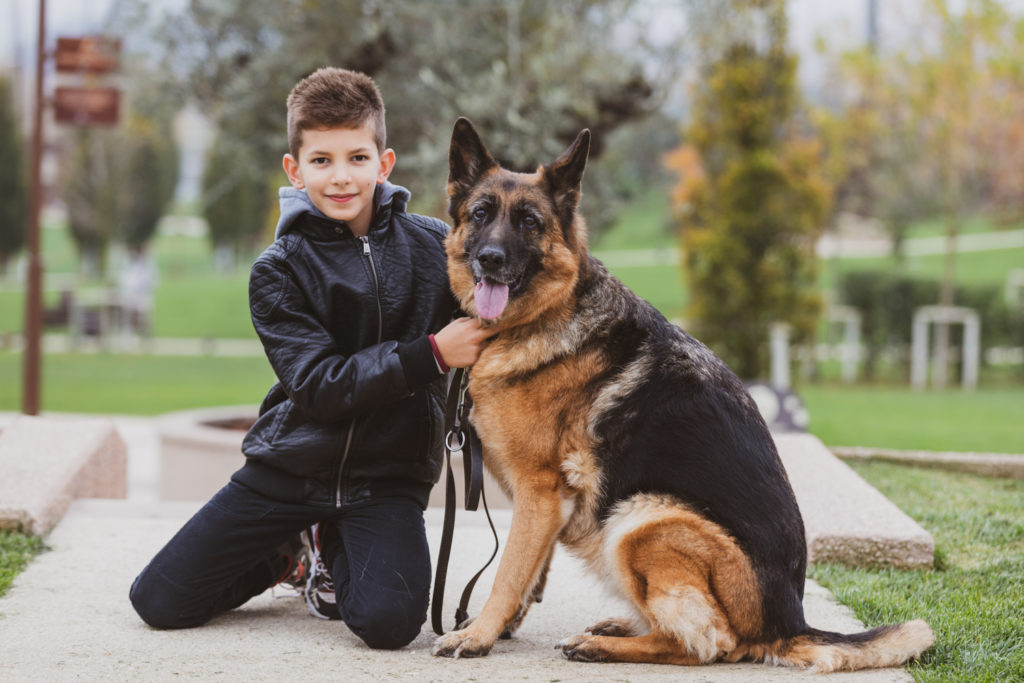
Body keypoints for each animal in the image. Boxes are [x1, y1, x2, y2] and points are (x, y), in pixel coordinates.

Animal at [431, 117, 935, 671]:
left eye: (528, 222)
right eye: (481, 214)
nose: (490, 259)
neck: (548, 314)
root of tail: (787, 625)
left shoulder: (540, 493)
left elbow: (508, 572)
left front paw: (477, 633)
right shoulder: (545, 504)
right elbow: (530, 571)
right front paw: (497, 628)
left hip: (642, 519)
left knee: (710, 643)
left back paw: (605, 646)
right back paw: (622, 625)